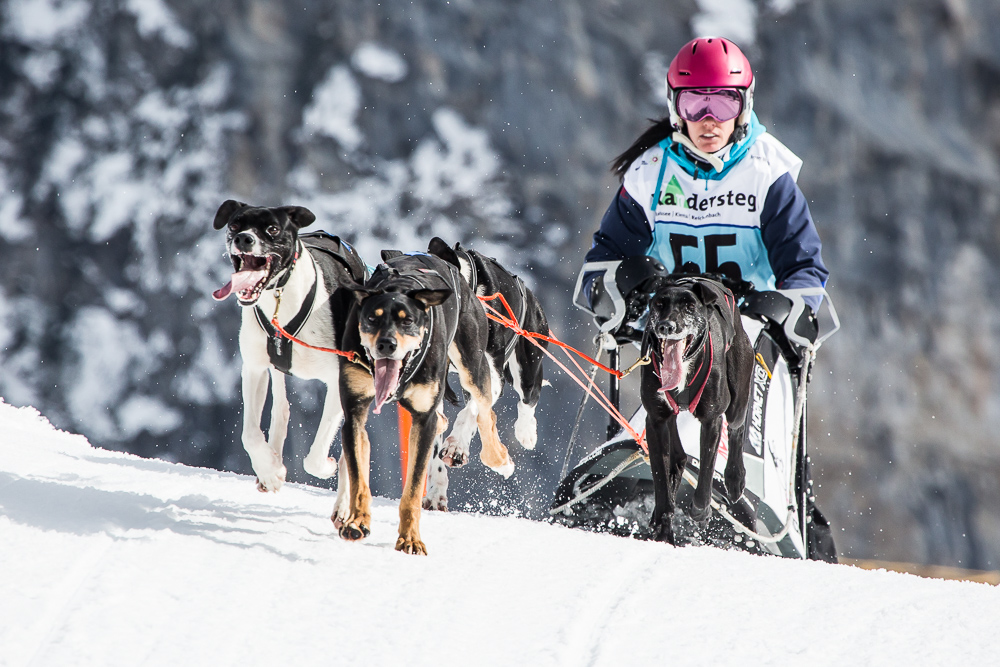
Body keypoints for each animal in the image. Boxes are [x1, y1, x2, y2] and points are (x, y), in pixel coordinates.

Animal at [342, 250, 520, 552]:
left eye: (408, 321)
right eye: (371, 319)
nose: (386, 345)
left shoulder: (423, 420)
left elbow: (413, 490)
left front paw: (410, 539)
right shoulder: (354, 413)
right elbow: (357, 476)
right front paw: (356, 520)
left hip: (473, 367)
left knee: (486, 412)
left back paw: (499, 458)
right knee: (451, 419)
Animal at [640, 274, 752, 544]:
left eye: (689, 307)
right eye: (659, 304)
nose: (666, 326)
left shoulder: (712, 420)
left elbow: (707, 472)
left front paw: (700, 512)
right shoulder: (656, 420)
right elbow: (660, 476)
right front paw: (663, 527)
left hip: (737, 396)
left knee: (736, 429)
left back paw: (735, 478)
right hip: (670, 419)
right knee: (678, 457)